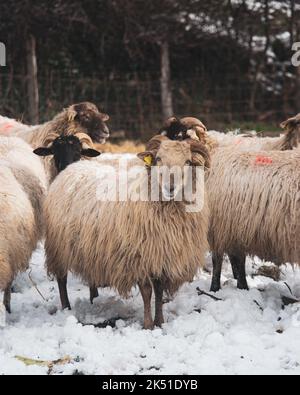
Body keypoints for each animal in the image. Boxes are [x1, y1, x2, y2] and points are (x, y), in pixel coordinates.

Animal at [44, 135, 211, 328]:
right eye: (158, 159)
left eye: (188, 161)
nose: (170, 187)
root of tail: (70, 169)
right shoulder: (138, 258)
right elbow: (147, 292)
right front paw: (148, 325)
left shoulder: (161, 255)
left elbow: (159, 291)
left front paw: (160, 322)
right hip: (58, 247)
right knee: (61, 279)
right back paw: (66, 307)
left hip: (88, 249)